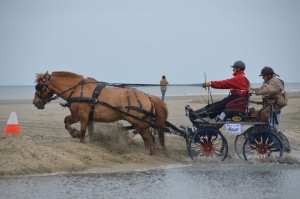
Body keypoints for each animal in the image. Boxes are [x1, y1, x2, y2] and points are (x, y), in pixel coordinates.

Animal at [33, 71, 169, 155]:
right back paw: (151, 155)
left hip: (134, 118)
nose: (35, 102)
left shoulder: (83, 116)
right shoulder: (77, 115)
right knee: (150, 138)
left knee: (143, 127)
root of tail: (147, 96)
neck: (77, 89)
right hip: (141, 118)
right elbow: (66, 121)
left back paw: (128, 137)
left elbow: (83, 132)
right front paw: (74, 133)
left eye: (38, 86)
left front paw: (80, 140)